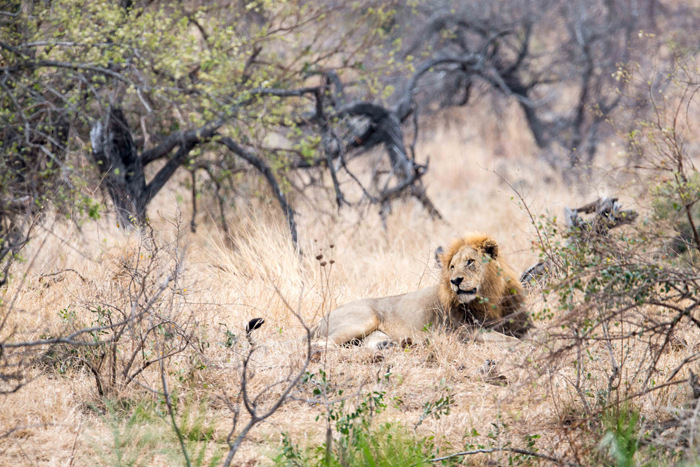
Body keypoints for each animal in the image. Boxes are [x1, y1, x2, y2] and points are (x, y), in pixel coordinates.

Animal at [310, 233, 530, 349]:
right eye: (452, 267)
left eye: (470, 262)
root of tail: (321, 320)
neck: (490, 296)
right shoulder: (466, 331)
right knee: (321, 344)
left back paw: (393, 344)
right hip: (363, 319)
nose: (455, 281)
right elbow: (510, 339)